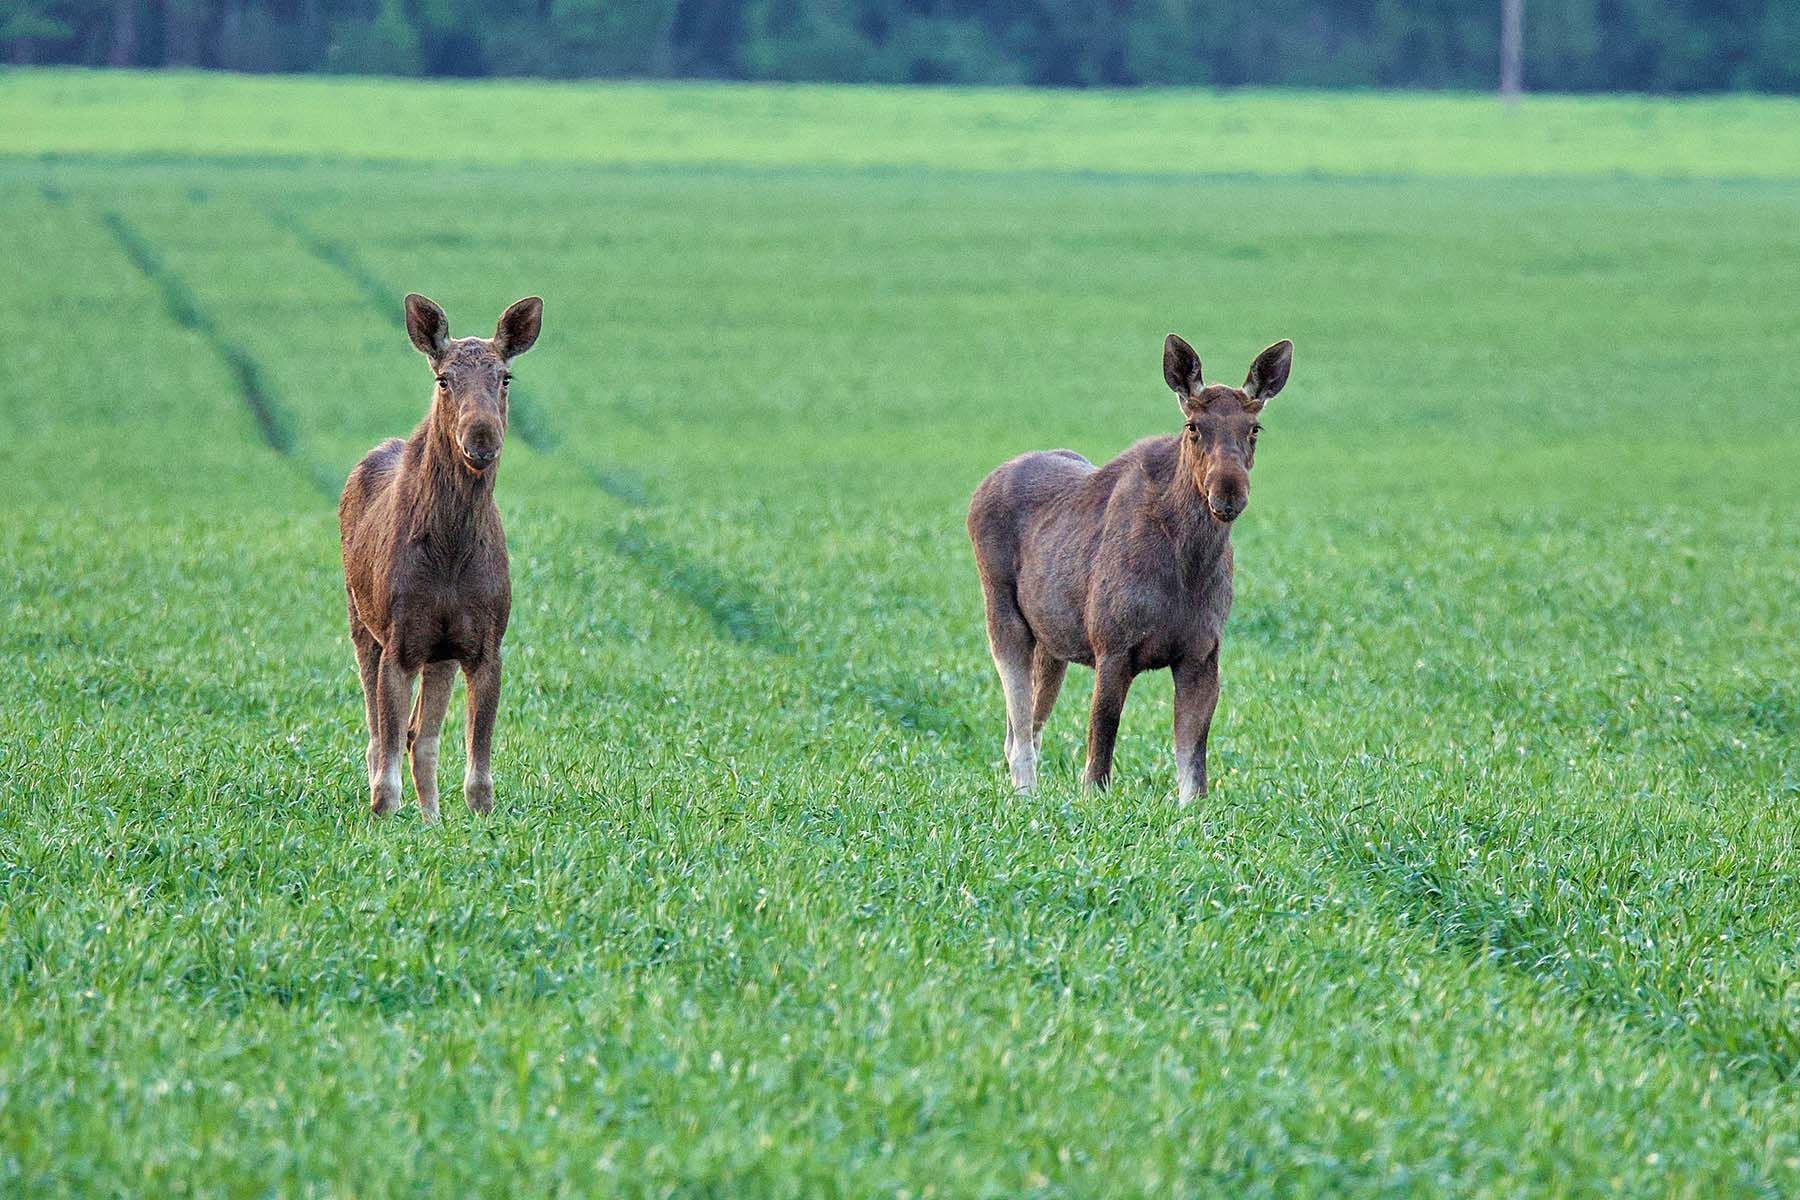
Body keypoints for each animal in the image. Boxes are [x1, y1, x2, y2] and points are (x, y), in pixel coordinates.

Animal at [339, 293, 543, 819]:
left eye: (505, 377)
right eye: (443, 379)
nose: (482, 438)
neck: (451, 552)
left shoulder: (485, 644)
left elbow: (479, 775)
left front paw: (473, 824)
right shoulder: (398, 642)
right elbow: (385, 770)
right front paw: (383, 822)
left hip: (441, 652)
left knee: (421, 736)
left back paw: (432, 819)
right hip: (360, 620)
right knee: (379, 737)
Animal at [967, 334, 1292, 804]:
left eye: (1254, 429)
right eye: (1193, 426)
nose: (1228, 493)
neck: (1189, 563)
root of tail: (979, 490)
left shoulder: (1201, 654)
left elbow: (1193, 771)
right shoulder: (1113, 646)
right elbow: (1099, 757)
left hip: (1052, 643)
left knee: (1022, 728)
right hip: (1004, 619)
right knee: (1020, 731)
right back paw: (1025, 797)